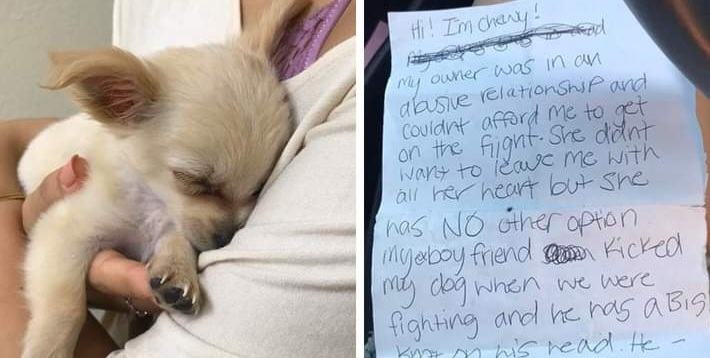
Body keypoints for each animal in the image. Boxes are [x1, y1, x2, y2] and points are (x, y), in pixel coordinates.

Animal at [17, 1, 308, 356]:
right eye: (193, 180)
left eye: (257, 189)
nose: (226, 236)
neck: (153, 202)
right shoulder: (62, 232)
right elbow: (65, 306)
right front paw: (48, 348)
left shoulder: (170, 224)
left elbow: (177, 237)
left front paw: (177, 270)